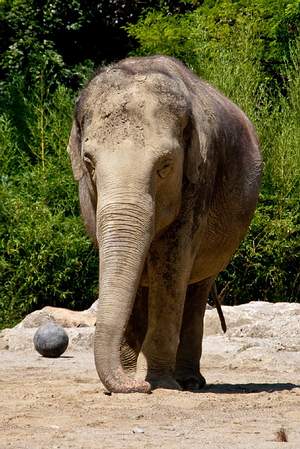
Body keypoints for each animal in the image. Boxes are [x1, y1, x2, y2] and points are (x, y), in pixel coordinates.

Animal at [67, 55, 262, 392]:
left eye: (165, 166)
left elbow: (171, 265)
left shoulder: (198, 182)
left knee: (196, 289)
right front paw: (132, 380)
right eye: (89, 163)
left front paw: (159, 383)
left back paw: (189, 381)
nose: (139, 387)